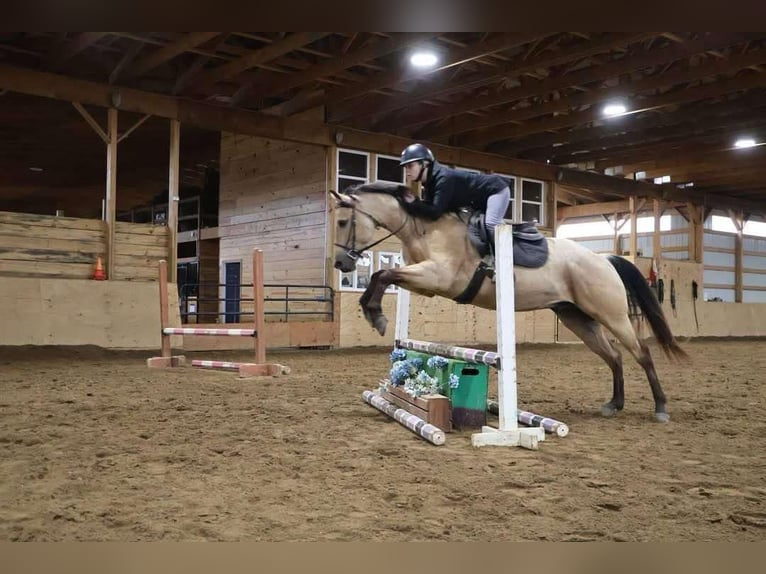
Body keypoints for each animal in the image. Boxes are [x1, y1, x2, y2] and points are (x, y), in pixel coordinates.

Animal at [331, 181, 688, 423]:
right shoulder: (424, 282)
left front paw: (375, 315)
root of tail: (605, 259)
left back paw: (660, 408)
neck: (425, 228)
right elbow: (384, 275)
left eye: (343, 222)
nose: (341, 264)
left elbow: (382, 274)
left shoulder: (438, 277)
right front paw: (372, 312)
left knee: (641, 353)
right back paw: (614, 404)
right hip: (576, 318)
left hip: (610, 313)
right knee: (614, 356)